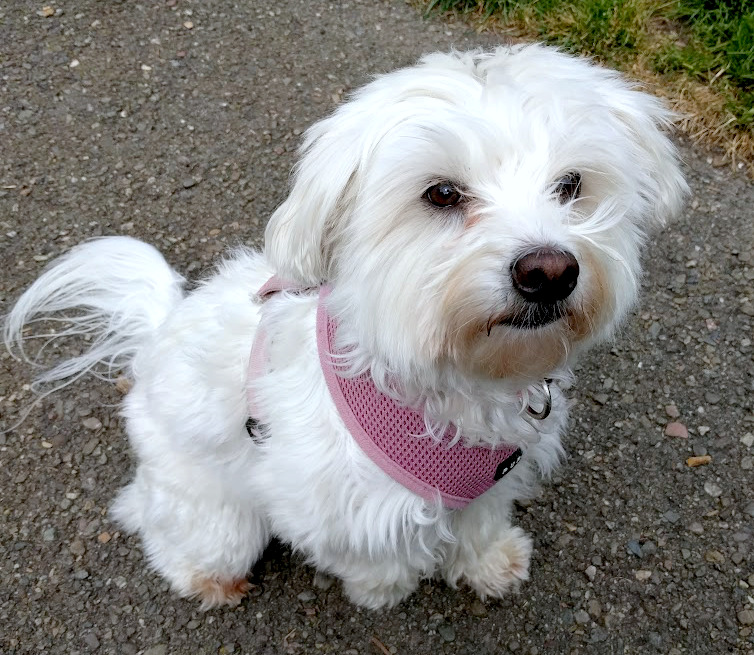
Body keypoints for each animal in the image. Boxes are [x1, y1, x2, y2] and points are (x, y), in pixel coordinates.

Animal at [7, 44, 688, 608]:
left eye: (571, 184)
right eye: (442, 194)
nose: (549, 272)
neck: (453, 384)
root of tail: (158, 331)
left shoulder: (495, 476)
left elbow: (479, 522)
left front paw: (488, 563)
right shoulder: (330, 508)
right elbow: (377, 556)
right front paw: (384, 591)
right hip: (213, 514)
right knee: (160, 525)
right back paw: (209, 579)